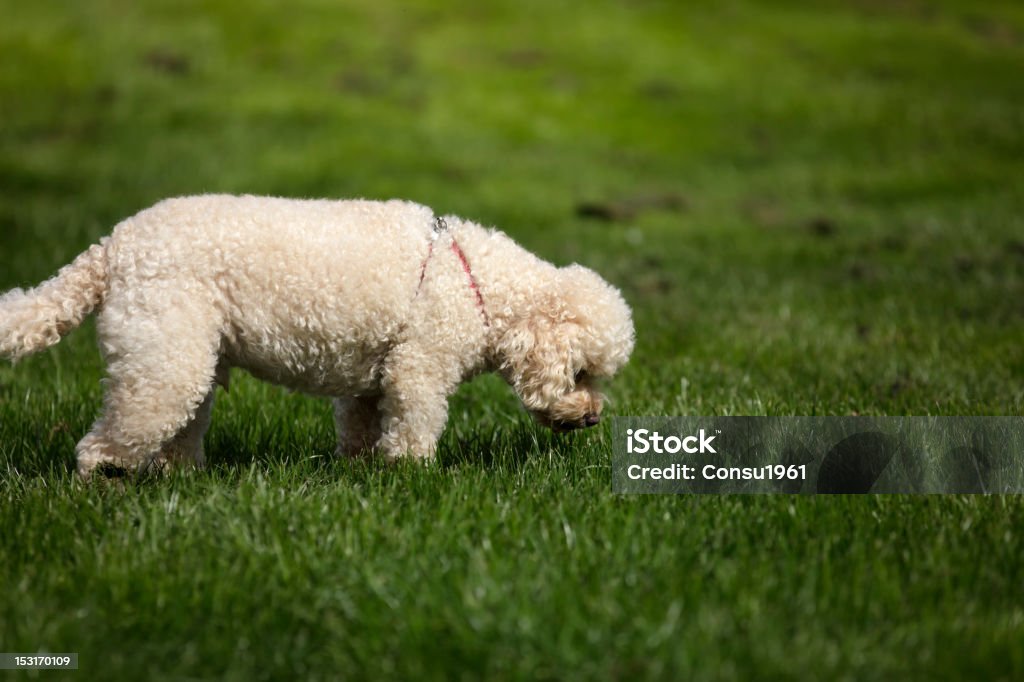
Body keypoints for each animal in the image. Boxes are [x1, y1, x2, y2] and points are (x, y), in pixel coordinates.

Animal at [0, 193, 630, 475]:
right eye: (581, 373)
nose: (593, 417)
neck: (480, 282)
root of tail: (111, 249)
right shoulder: (419, 368)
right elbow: (416, 426)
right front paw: (413, 477)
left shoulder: (373, 382)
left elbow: (361, 427)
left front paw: (360, 471)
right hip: (160, 359)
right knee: (107, 441)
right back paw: (104, 482)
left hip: (185, 353)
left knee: (180, 430)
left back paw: (181, 476)